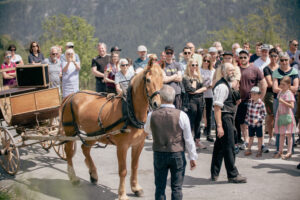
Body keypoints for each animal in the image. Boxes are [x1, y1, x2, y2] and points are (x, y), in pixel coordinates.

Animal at [60, 63, 163, 199]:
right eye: (148, 80)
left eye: (163, 80)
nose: (157, 104)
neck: (129, 111)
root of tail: (70, 96)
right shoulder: (122, 146)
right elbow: (123, 170)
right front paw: (122, 194)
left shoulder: (138, 144)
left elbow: (134, 166)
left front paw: (136, 188)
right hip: (70, 131)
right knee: (68, 152)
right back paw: (73, 178)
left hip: (94, 133)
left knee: (85, 149)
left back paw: (93, 174)